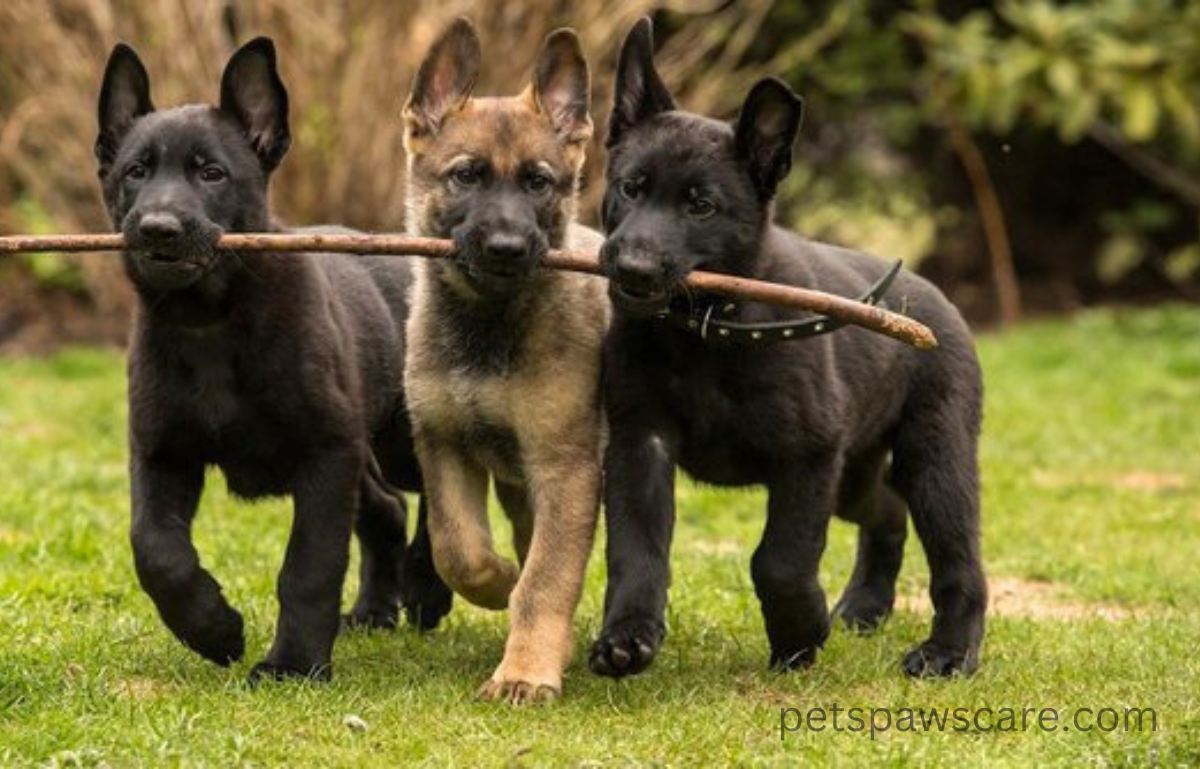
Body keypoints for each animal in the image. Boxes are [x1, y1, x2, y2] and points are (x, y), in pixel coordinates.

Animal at [96, 38, 451, 681]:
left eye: (211, 172)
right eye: (135, 172)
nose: (158, 229)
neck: (210, 323)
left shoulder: (325, 455)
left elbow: (309, 567)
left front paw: (293, 664)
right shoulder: (161, 453)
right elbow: (155, 550)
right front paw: (213, 628)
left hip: (399, 437)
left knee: (446, 492)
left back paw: (427, 588)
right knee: (387, 508)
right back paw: (373, 611)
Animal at [400, 17, 609, 700]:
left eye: (538, 182)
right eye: (465, 175)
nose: (508, 248)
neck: (487, 326)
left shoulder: (566, 468)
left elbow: (548, 578)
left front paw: (524, 673)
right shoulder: (443, 444)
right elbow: (457, 547)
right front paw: (496, 584)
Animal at [588, 19, 984, 676]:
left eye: (701, 205)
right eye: (630, 188)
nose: (634, 269)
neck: (705, 333)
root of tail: (933, 298)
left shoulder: (808, 457)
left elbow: (780, 559)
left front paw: (799, 633)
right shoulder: (639, 444)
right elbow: (635, 549)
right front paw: (627, 637)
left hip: (934, 458)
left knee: (959, 558)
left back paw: (949, 652)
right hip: (855, 475)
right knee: (887, 512)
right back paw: (865, 606)